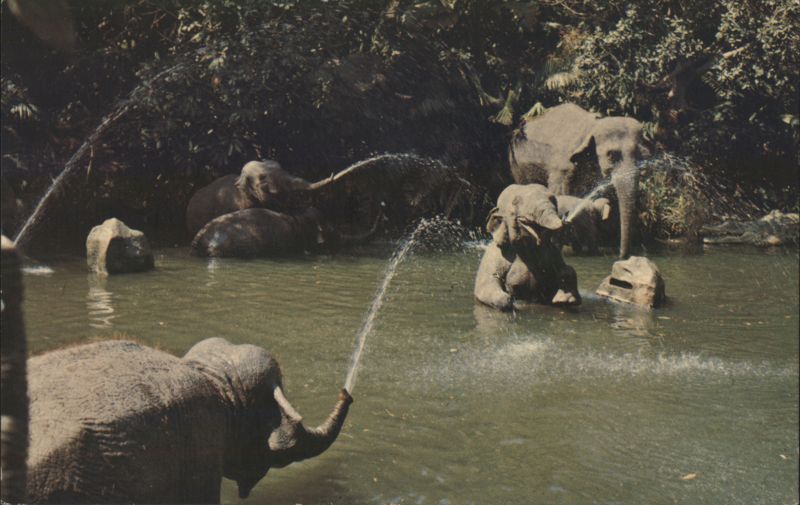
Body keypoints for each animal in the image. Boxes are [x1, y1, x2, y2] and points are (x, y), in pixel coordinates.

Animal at [509, 103, 652, 258]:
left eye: (642, 155)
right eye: (611, 155)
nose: (622, 256)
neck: (594, 125)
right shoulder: (562, 167)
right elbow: (559, 193)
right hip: (515, 162)